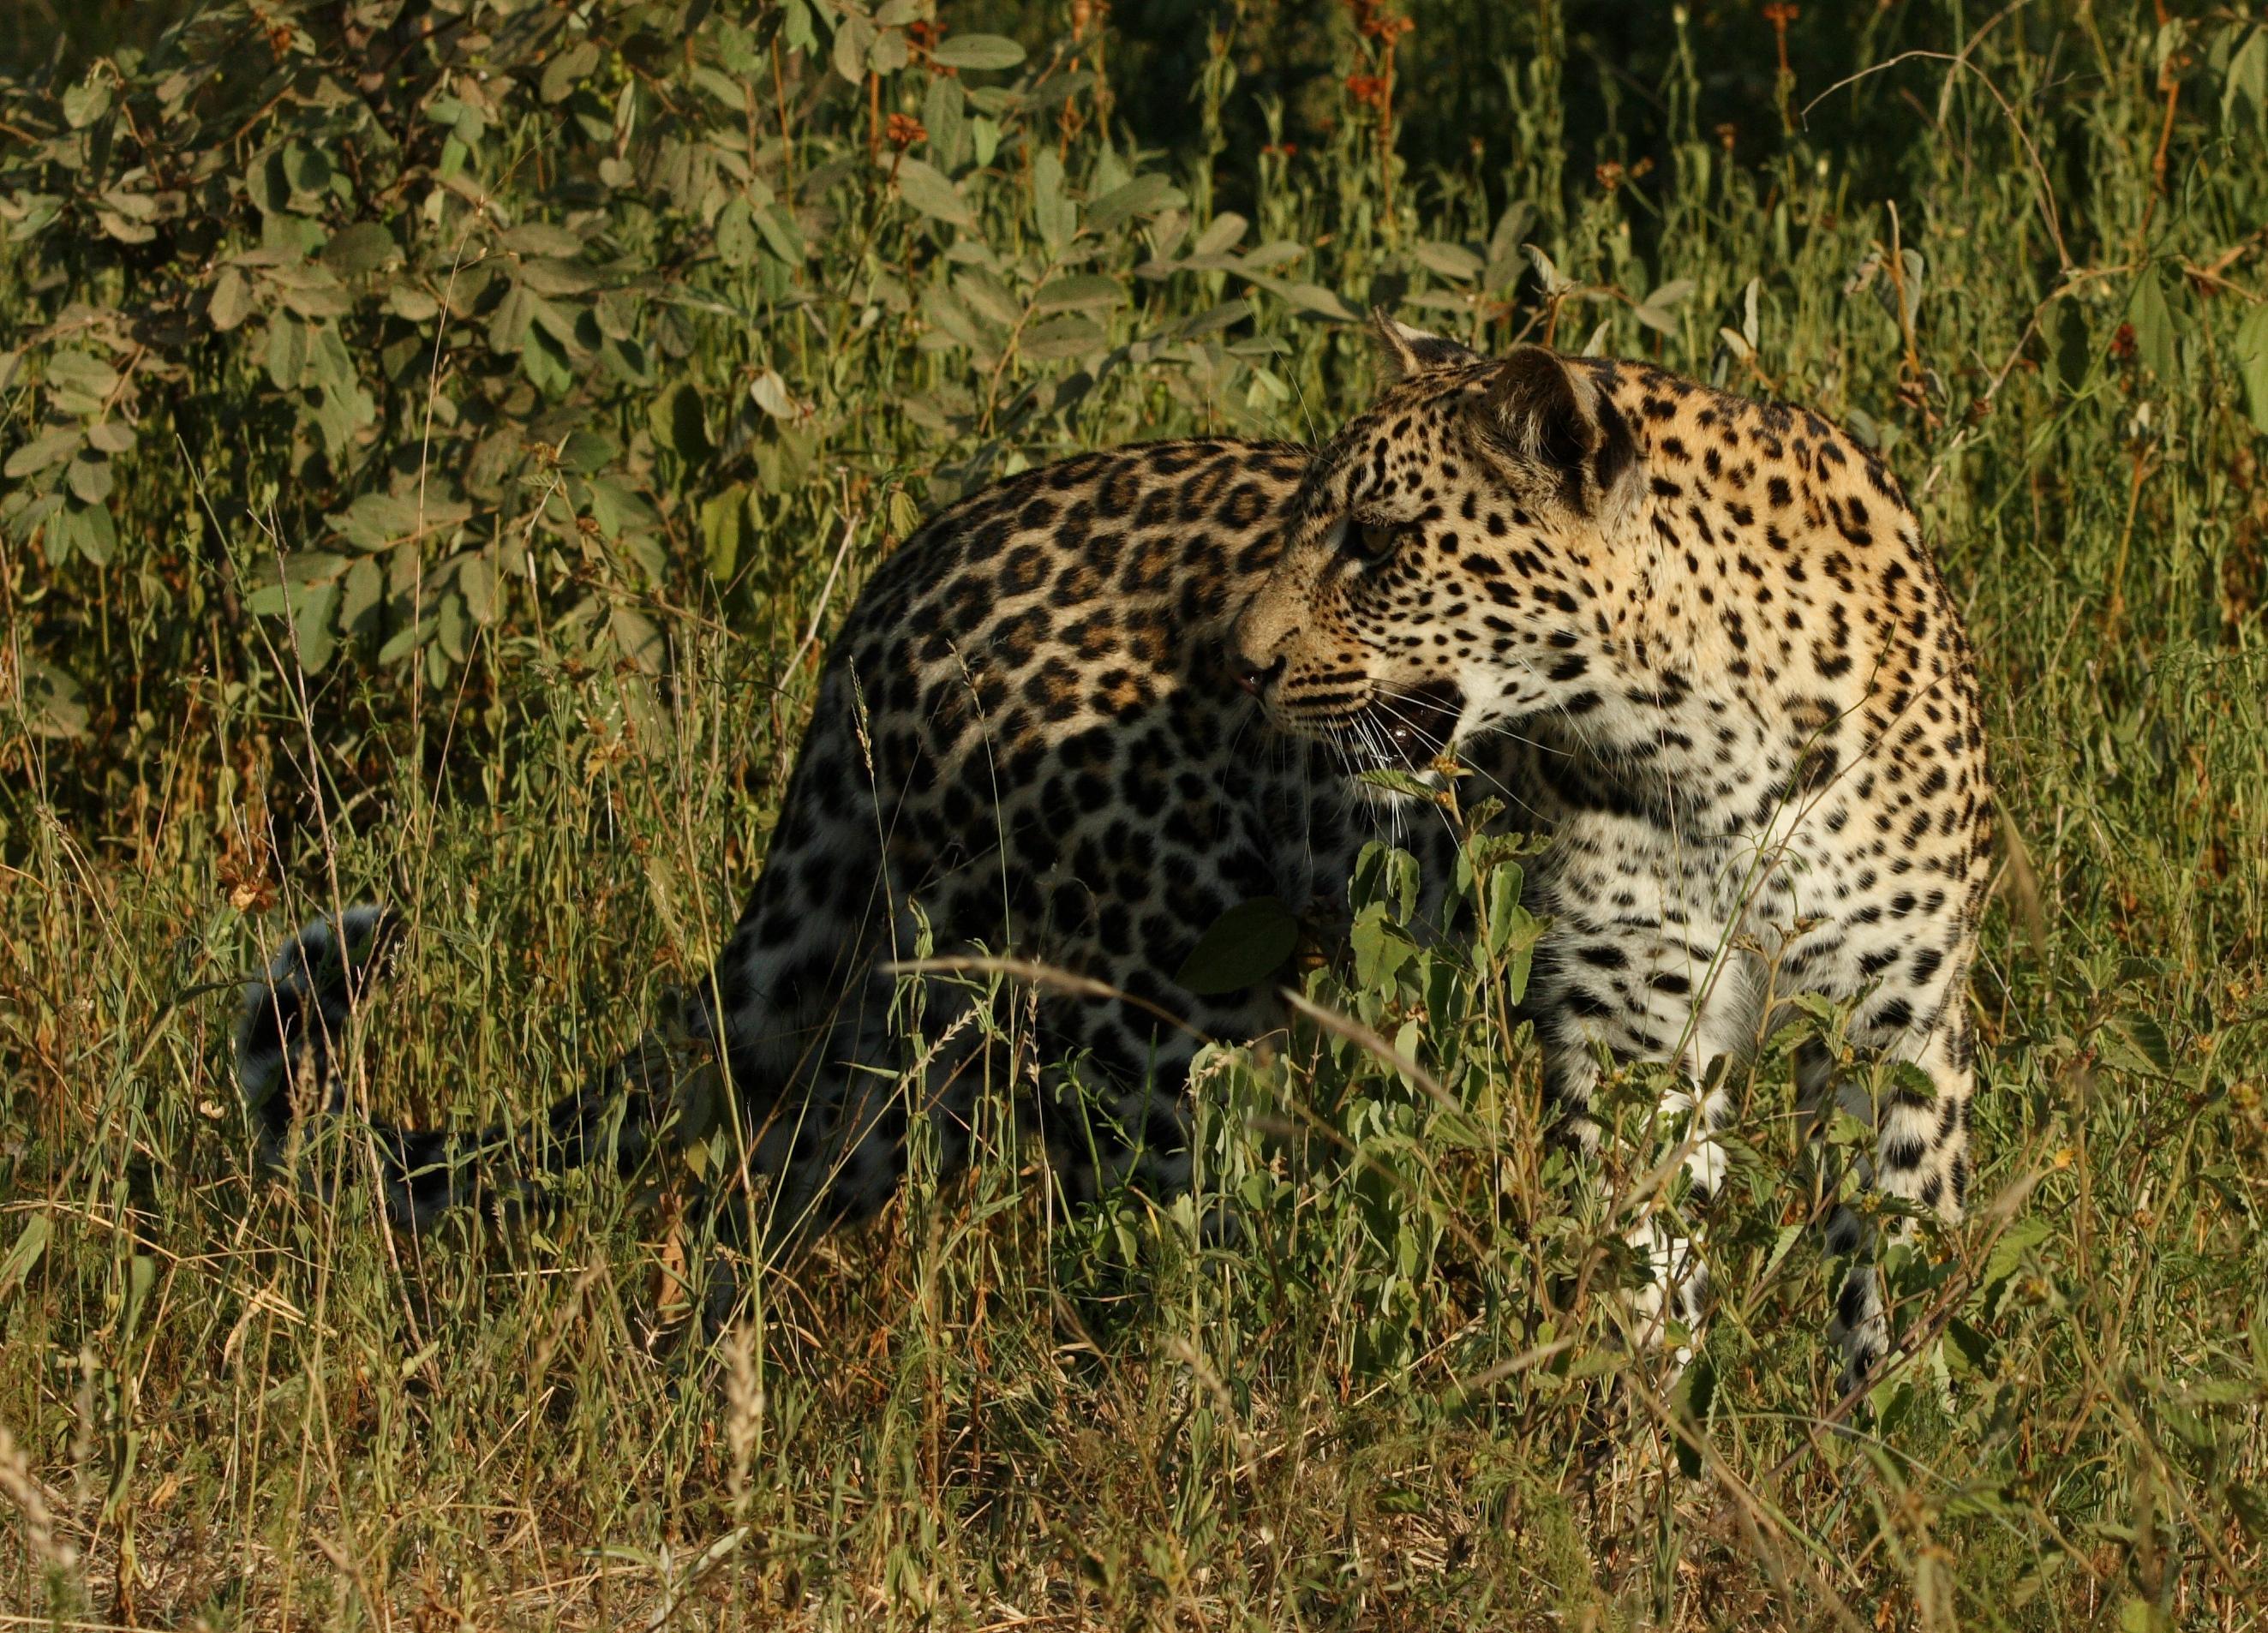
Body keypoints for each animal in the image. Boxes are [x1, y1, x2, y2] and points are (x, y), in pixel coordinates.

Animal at [239, 313, 1996, 1388]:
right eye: (1308, 521)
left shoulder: (1899, 1008)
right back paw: (1207, 1426)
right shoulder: (1628, 1007)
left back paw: (713, 1390)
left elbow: (1905, 1240)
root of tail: (894, 585)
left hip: (919, 1043)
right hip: (1122, 1022)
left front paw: (1876, 1447)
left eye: (1377, 544)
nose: (1231, 655)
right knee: (1133, 1260)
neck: (1707, 735)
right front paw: (1628, 1439)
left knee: (774, 1175)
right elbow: (1636, 1239)